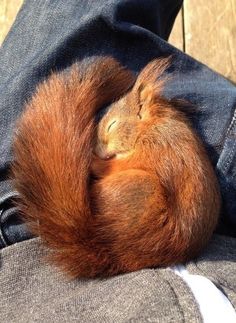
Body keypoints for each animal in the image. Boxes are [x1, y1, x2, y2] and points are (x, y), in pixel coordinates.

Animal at [12, 55, 220, 278]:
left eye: (112, 125)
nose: (97, 149)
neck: (151, 126)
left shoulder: (156, 147)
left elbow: (121, 164)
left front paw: (94, 160)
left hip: (141, 188)